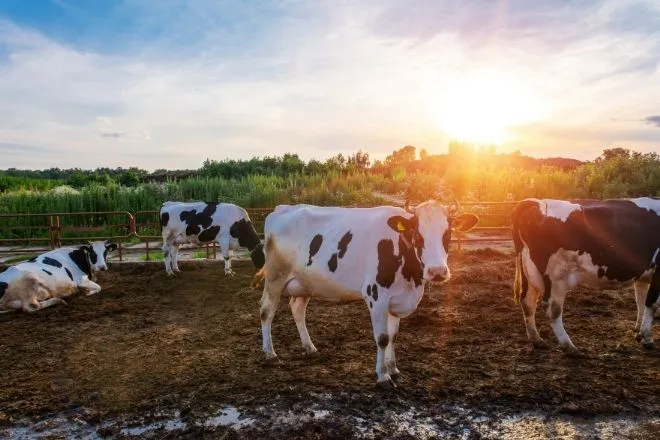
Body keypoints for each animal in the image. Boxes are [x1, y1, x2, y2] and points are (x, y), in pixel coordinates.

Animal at [254, 201, 480, 386]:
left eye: (447, 234)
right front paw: (383, 376)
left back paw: (309, 347)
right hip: (275, 277)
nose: (437, 272)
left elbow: (393, 336)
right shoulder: (376, 296)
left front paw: (393, 369)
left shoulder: (396, 299)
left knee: (297, 310)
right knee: (266, 311)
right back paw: (270, 353)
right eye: (418, 235)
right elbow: (382, 337)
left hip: (305, 282)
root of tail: (281, 209)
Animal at [512, 197, 660, 354]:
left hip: (529, 273)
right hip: (557, 278)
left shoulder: (643, 276)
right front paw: (647, 337)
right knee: (552, 309)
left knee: (527, 302)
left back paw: (537, 340)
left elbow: (640, 302)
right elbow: (651, 303)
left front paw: (639, 332)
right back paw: (569, 346)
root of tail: (536, 202)